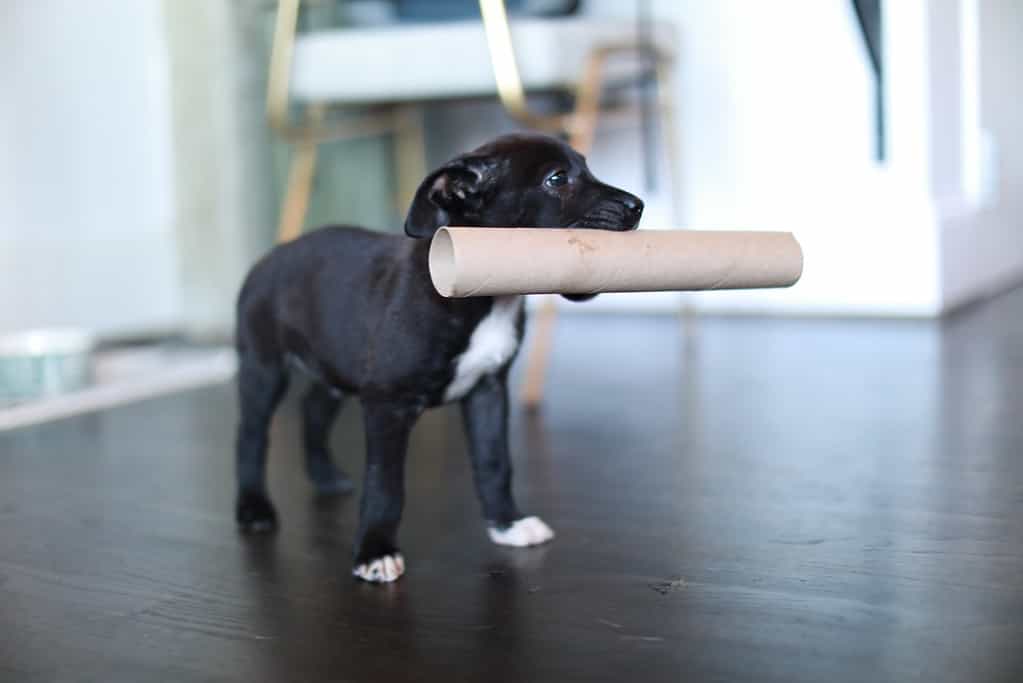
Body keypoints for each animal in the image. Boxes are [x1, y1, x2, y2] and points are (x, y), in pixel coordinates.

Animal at [235, 131, 642, 580]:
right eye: (557, 179)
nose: (638, 205)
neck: (486, 300)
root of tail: (271, 255)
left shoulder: (487, 391)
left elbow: (494, 463)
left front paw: (508, 523)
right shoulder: (388, 404)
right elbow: (385, 484)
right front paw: (374, 550)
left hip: (335, 365)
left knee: (312, 409)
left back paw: (324, 476)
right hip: (263, 368)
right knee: (252, 435)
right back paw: (253, 508)